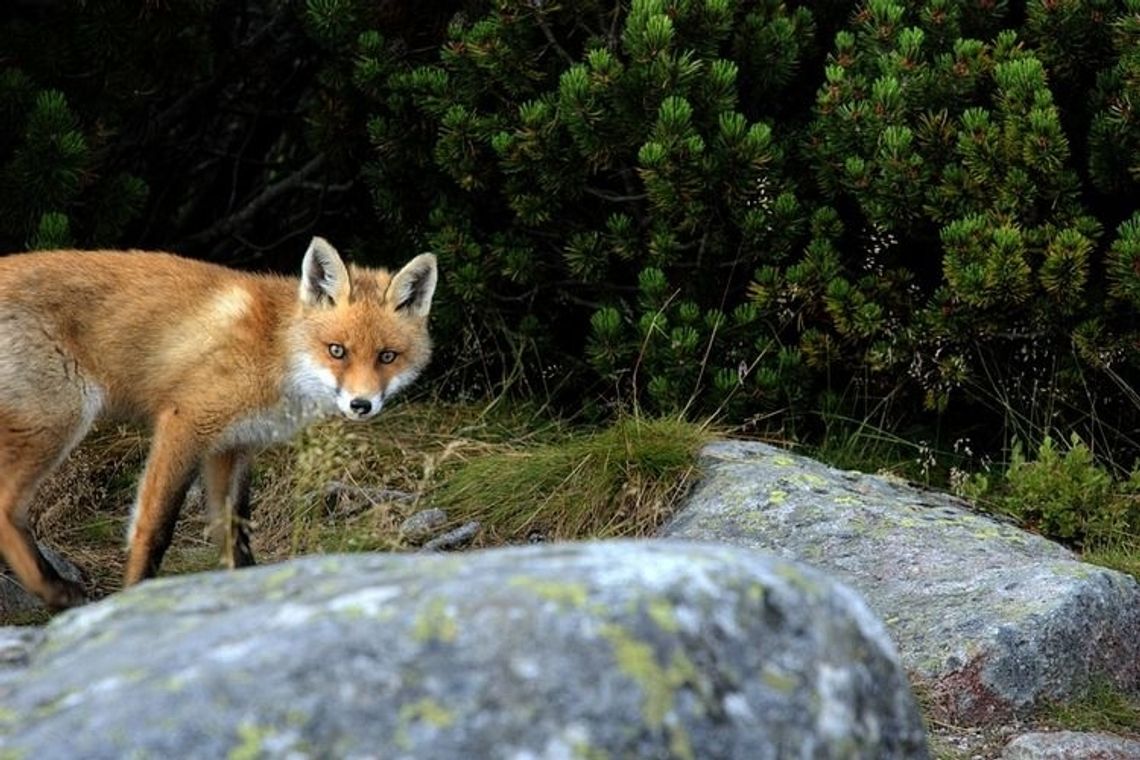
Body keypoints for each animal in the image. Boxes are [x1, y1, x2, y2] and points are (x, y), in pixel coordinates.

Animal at [0, 238, 435, 610]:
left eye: (387, 356)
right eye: (337, 351)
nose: (361, 405)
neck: (275, 350)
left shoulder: (232, 448)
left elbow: (235, 537)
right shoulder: (185, 422)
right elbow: (154, 529)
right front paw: (135, 595)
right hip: (59, 419)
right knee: (7, 506)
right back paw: (55, 591)